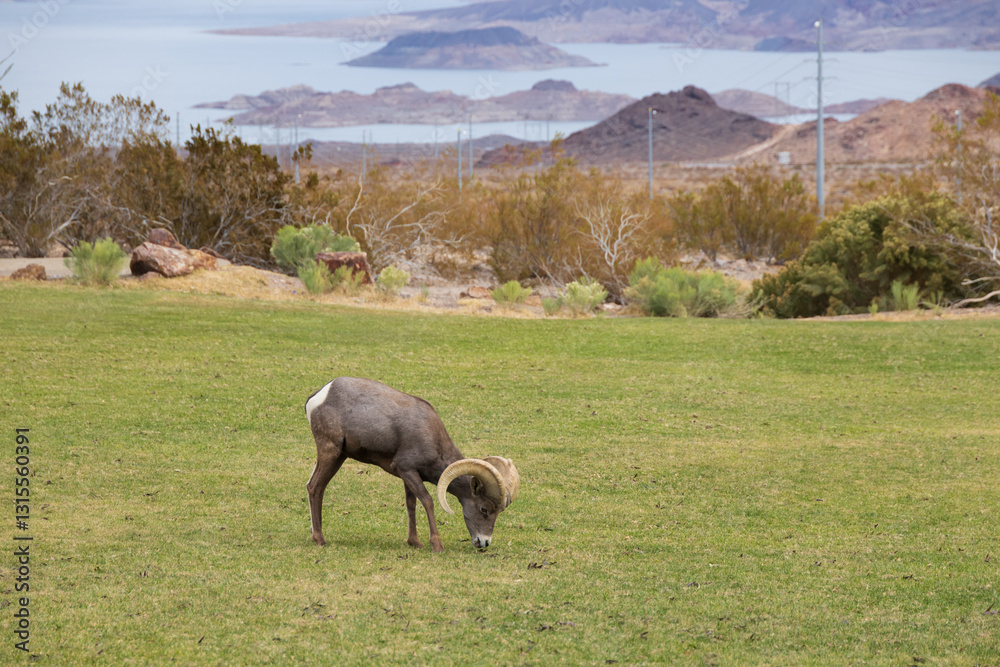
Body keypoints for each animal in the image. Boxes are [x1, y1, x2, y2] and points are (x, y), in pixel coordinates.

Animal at [305, 377, 519, 552]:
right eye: (484, 510)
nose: (484, 543)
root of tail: (318, 397)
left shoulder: (408, 475)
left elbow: (411, 504)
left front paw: (414, 542)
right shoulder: (406, 470)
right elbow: (427, 501)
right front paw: (437, 545)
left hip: (339, 456)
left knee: (316, 487)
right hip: (330, 451)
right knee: (315, 487)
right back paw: (320, 539)